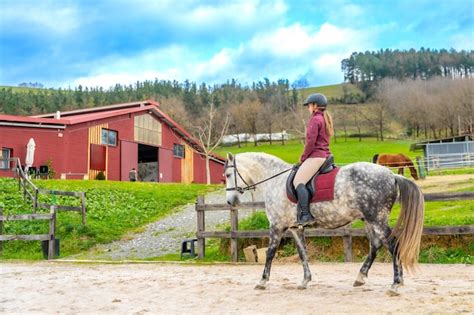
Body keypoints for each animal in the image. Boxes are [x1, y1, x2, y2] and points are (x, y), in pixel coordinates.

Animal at [224, 152, 424, 294]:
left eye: (227, 174)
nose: (230, 202)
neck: (274, 180)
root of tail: (392, 175)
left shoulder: (276, 226)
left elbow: (271, 253)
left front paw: (262, 281)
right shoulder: (295, 228)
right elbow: (302, 253)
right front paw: (305, 281)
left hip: (377, 219)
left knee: (392, 244)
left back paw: (395, 284)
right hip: (369, 219)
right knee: (376, 245)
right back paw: (362, 277)